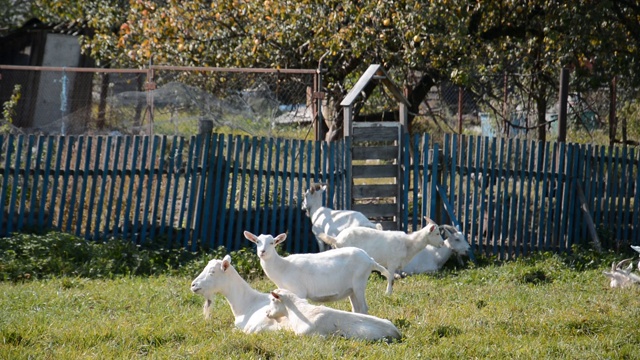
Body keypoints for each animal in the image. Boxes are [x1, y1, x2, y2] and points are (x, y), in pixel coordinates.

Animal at [245, 232, 392, 314]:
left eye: (272, 242)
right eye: (257, 241)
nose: (262, 252)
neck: (282, 267)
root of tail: (370, 259)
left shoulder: (299, 291)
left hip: (359, 282)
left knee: (364, 308)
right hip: (351, 289)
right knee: (357, 309)